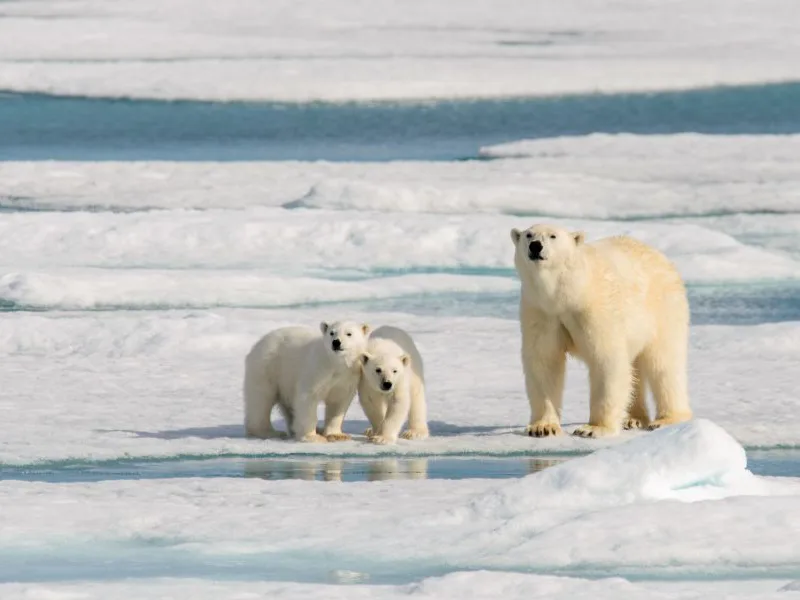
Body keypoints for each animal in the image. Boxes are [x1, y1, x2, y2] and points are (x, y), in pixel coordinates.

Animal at [510, 223, 693, 438]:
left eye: (553, 236)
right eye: (528, 235)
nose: (536, 246)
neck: (568, 292)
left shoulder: (594, 307)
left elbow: (606, 359)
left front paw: (593, 429)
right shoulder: (541, 312)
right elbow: (544, 361)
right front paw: (542, 427)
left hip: (663, 308)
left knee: (664, 364)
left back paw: (667, 419)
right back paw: (633, 418)